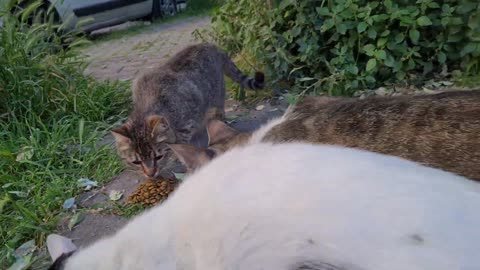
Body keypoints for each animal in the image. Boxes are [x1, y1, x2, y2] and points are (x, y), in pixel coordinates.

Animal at [111, 42, 264, 179]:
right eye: (136, 162)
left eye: (159, 157)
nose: (150, 174)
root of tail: (211, 44)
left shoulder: (187, 124)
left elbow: (182, 145)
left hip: (217, 94)